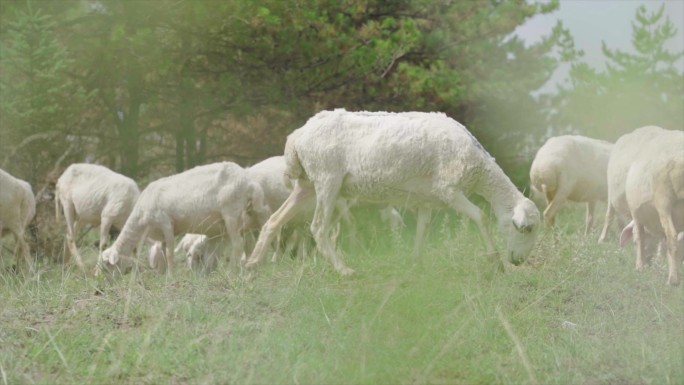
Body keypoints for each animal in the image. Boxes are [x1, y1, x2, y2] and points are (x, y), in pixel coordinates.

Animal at [101, 161, 262, 272]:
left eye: (107, 266)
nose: (100, 288)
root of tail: (248, 182)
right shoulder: (161, 234)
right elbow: (163, 253)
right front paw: (163, 274)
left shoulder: (166, 223)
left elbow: (169, 253)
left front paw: (171, 275)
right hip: (247, 215)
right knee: (250, 243)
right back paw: (248, 268)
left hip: (231, 213)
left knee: (238, 244)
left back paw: (232, 271)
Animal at [244, 109, 540, 274]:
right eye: (526, 229)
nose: (519, 261)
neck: (479, 168)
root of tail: (297, 137)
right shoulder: (447, 190)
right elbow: (481, 216)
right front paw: (496, 262)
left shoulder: (426, 198)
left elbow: (423, 227)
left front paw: (415, 264)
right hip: (328, 179)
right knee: (318, 228)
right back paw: (344, 270)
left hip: (306, 184)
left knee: (274, 221)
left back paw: (253, 266)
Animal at [616, 127, 684, 284]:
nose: (649, 262)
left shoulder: (636, 214)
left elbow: (639, 237)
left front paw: (639, 268)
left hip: (663, 203)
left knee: (671, 237)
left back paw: (672, 280)